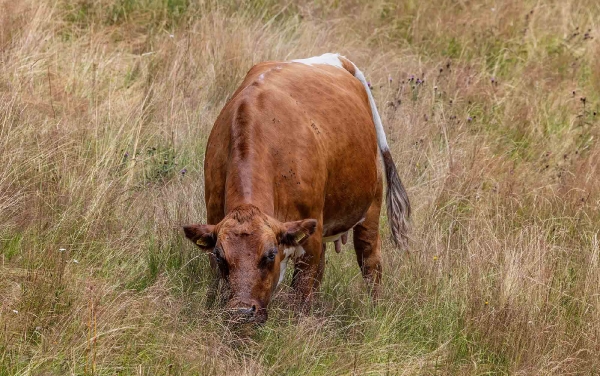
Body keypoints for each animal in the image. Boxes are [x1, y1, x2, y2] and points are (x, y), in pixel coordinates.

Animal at [182, 53, 408, 324]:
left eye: (270, 254)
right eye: (220, 255)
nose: (242, 311)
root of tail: (335, 58)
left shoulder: (309, 240)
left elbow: (301, 294)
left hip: (370, 206)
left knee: (370, 261)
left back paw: (374, 310)